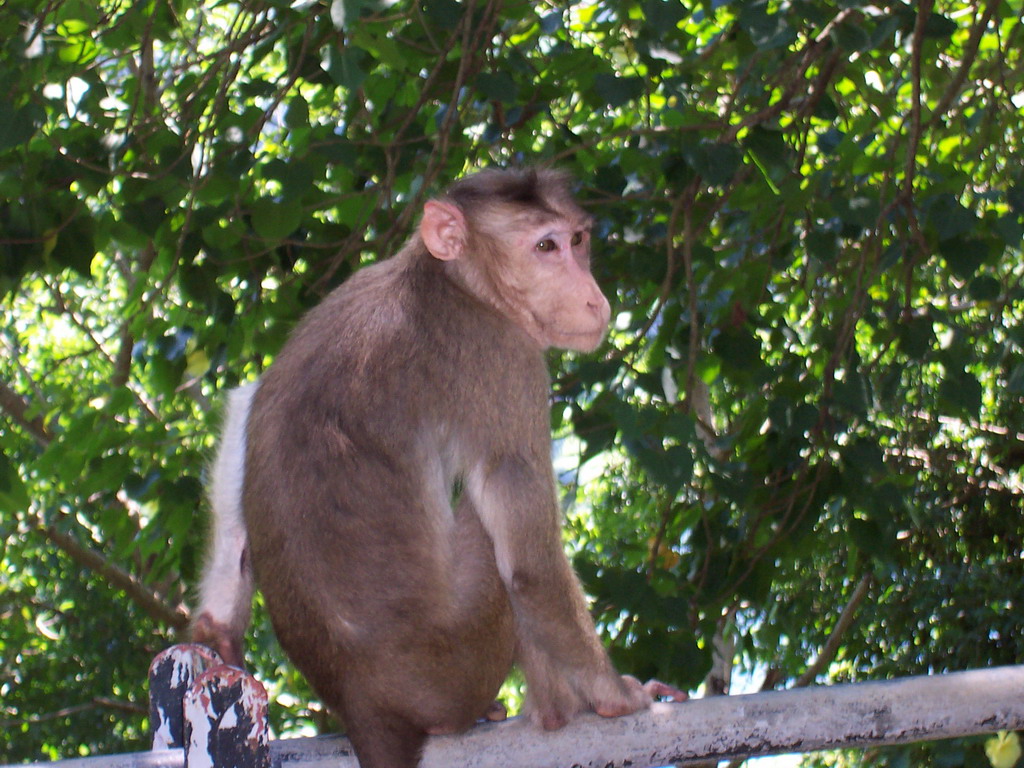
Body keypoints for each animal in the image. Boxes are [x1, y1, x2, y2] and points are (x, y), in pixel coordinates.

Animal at [192, 169, 688, 768]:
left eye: (577, 241)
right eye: (544, 247)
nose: (594, 299)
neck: (451, 280)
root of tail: (364, 708)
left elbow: (246, 395)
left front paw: (219, 626)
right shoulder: (505, 357)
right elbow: (530, 566)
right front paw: (617, 696)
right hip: (459, 665)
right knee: (494, 532)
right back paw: (552, 712)